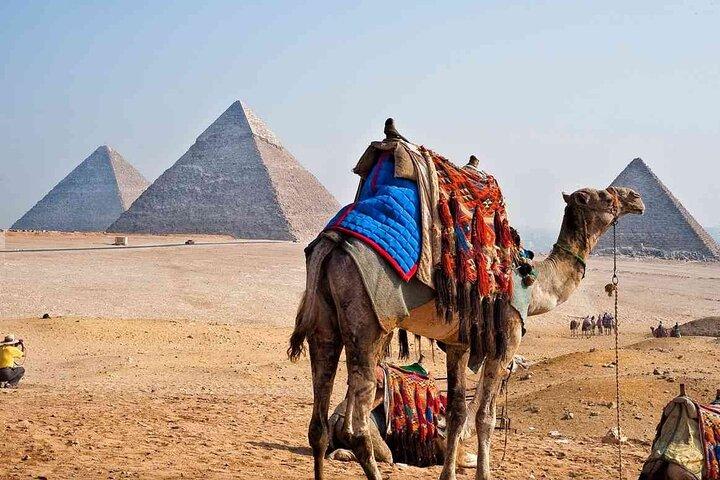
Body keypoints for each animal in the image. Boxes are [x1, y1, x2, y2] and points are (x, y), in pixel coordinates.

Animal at [289, 186, 644, 480]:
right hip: (368, 324)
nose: (635, 197)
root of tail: (331, 244)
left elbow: (457, 413)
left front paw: (448, 474)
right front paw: (484, 474)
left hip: (325, 324)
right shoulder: (505, 342)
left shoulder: (457, 345)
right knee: (359, 427)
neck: (534, 285)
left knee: (318, 424)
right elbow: (485, 416)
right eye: (604, 196)